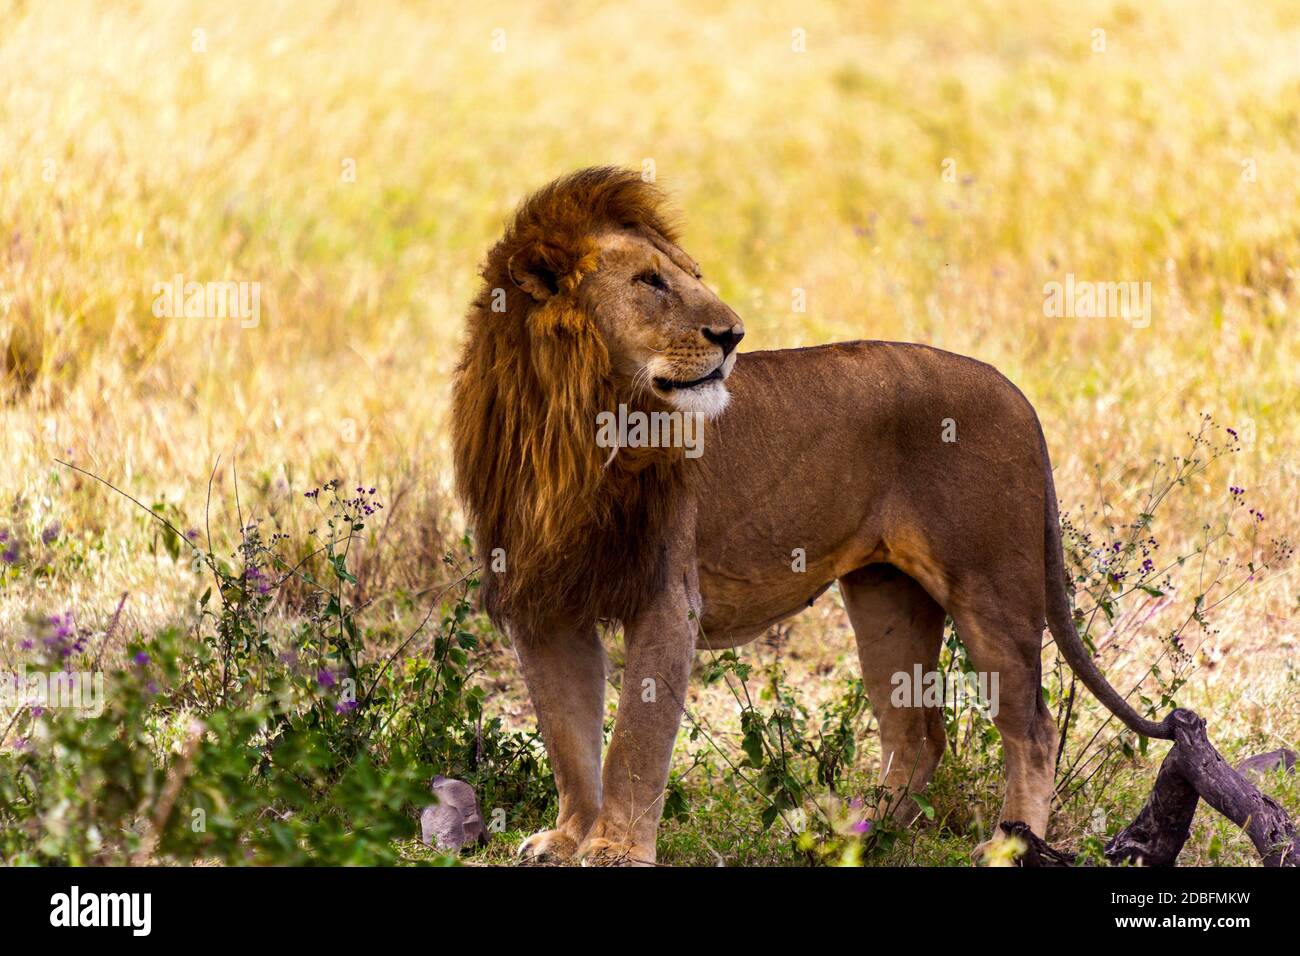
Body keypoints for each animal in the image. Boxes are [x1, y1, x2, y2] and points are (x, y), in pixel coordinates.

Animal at [451, 166, 1172, 866]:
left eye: (691, 275)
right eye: (649, 282)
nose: (733, 335)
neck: (569, 429)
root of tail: (1016, 391)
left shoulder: (665, 597)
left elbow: (634, 740)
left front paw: (613, 850)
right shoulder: (543, 604)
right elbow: (567, 737)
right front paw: (566, 837)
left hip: (992, 587)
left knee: (1033, 727)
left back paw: (1007, 844)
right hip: (887, 596)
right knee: (918, 731)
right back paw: (857, 836)